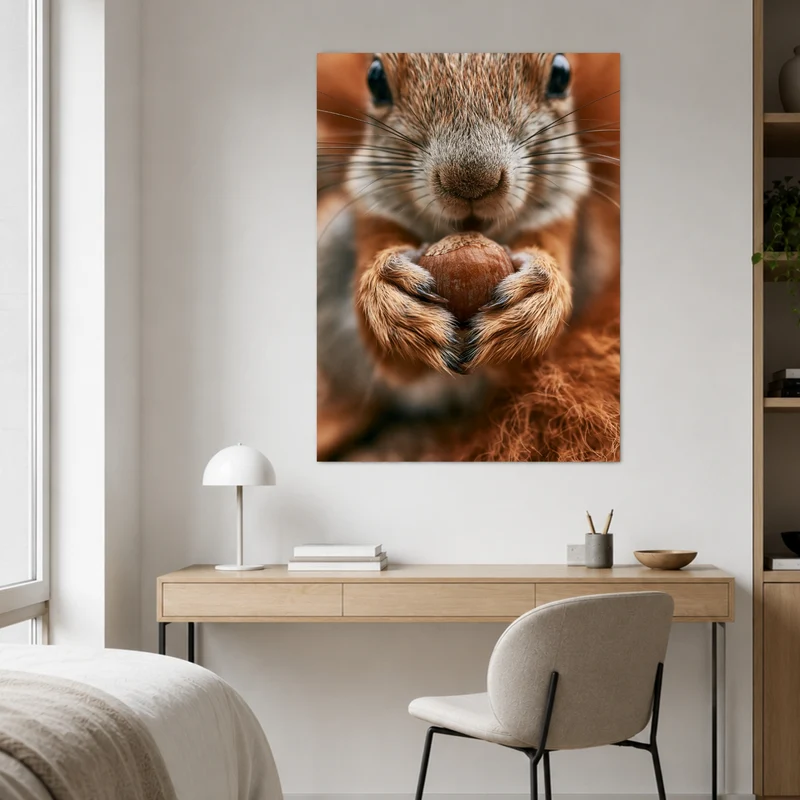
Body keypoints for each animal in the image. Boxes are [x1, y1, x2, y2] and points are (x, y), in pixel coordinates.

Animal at [317, 53, 620, 461]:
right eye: (375, 80)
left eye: (561, 74)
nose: (472, 181)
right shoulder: (372, 215)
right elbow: (390, 355)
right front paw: (394, 301)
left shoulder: (563, 219)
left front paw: (536, 300)